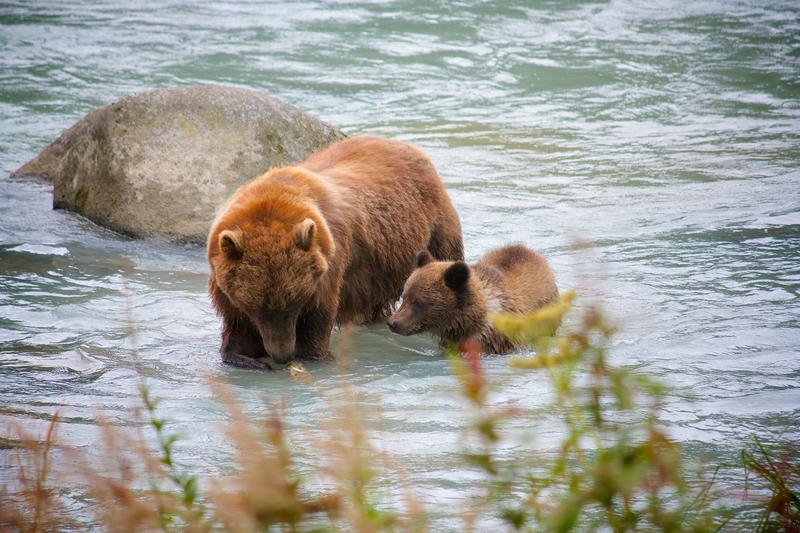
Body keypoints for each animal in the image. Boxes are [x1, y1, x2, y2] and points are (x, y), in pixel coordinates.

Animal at [206, 135, 462, 368]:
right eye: (257, 309)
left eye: (294, 304)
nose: (283, 355)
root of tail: (406, 145)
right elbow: (237, 323)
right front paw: (244, 356)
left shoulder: (329, 266)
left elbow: (318, 318)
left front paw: (311, 354)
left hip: (434, 227)